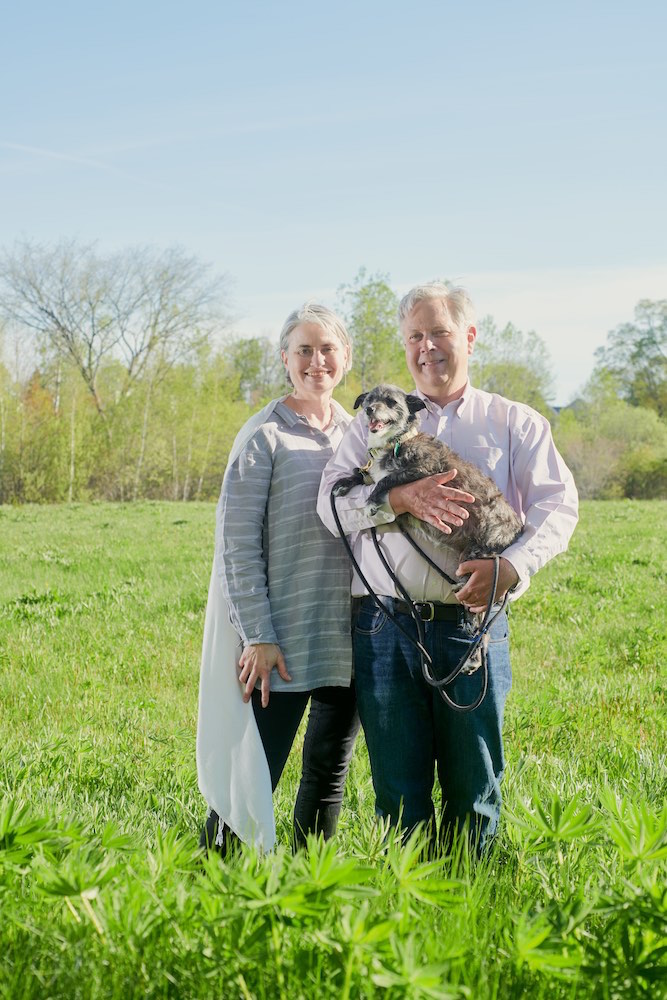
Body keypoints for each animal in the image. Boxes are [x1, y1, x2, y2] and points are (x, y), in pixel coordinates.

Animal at [334, 382, 520, 568]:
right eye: (369, 399)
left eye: (391, 402)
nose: (369, 409)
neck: (395, 443)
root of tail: (518, 528)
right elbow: (361, 473)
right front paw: (343, 483)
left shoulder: (426, 469)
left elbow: (386, 479)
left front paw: (371, 502)